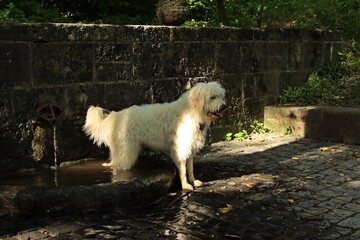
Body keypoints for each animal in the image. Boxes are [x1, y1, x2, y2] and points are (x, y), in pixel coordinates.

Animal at [83, 81, 226, 190]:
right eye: (212, 97)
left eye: (221, 96)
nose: (224, 106)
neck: (192, 112)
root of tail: (116, 116)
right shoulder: (181, 148)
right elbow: (183, 169)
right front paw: (185, 185)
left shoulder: (190, 146)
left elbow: (190, 168)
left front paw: (193, 181)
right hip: (126, 152)